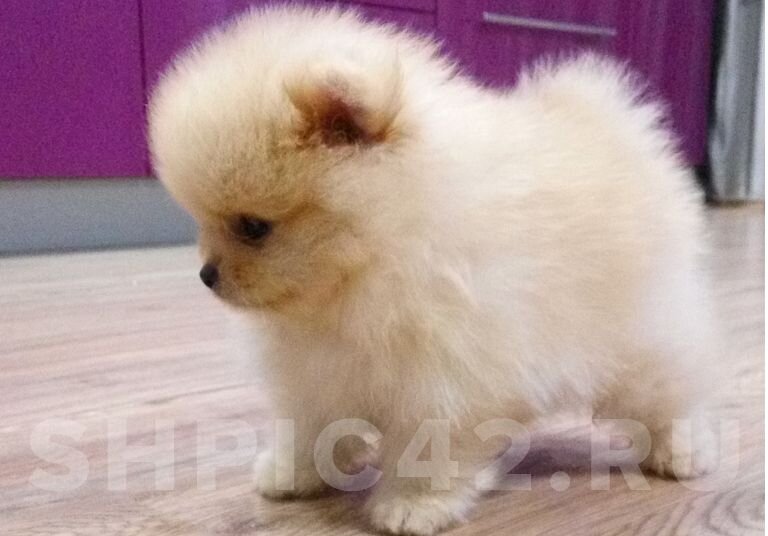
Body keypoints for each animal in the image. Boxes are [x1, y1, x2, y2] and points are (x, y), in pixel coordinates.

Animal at [149, 6, 719, 534]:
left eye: (253, 227)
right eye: (201, 221)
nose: (207, 275)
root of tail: (616, 127)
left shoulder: (445, 372)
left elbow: (430, 443)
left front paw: (414, 505)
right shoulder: (319, 370)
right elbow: (312, 426)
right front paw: (296, 473)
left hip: (640, 341)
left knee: (668, 396)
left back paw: (679, 453)